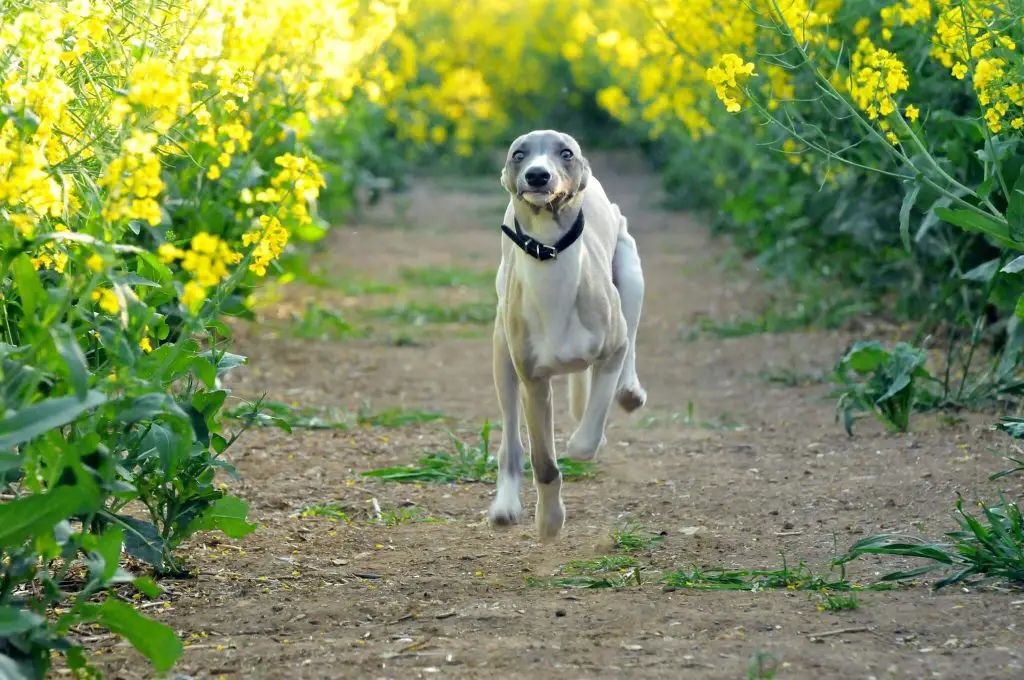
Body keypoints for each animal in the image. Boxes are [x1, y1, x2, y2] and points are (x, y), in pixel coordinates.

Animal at [487, 130, 647, 540]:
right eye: (518, 154)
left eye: (566, 153)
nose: (537, 175)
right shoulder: (533, 381)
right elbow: (544, 462)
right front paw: (549, 522)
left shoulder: (612, 349)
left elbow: (588, 432)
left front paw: (584, 442)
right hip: (502, 356)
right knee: (510, 440)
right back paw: (505, 505)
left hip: (631, 273)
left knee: (631, 341)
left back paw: (630, 391)